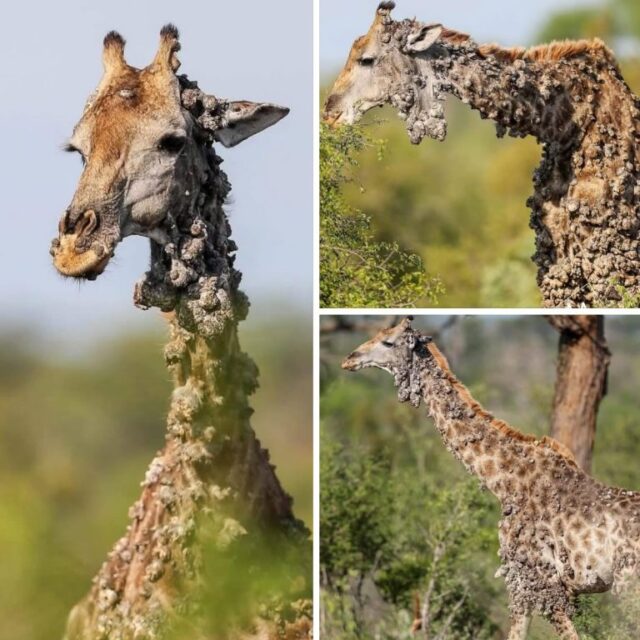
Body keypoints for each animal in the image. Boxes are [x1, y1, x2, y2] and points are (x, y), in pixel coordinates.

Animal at [342, 317, 640, 639]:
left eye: (389, 342)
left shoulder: (533, 578)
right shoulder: (534, 583)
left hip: (627, 585)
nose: (349, 359)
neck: (503, 482)